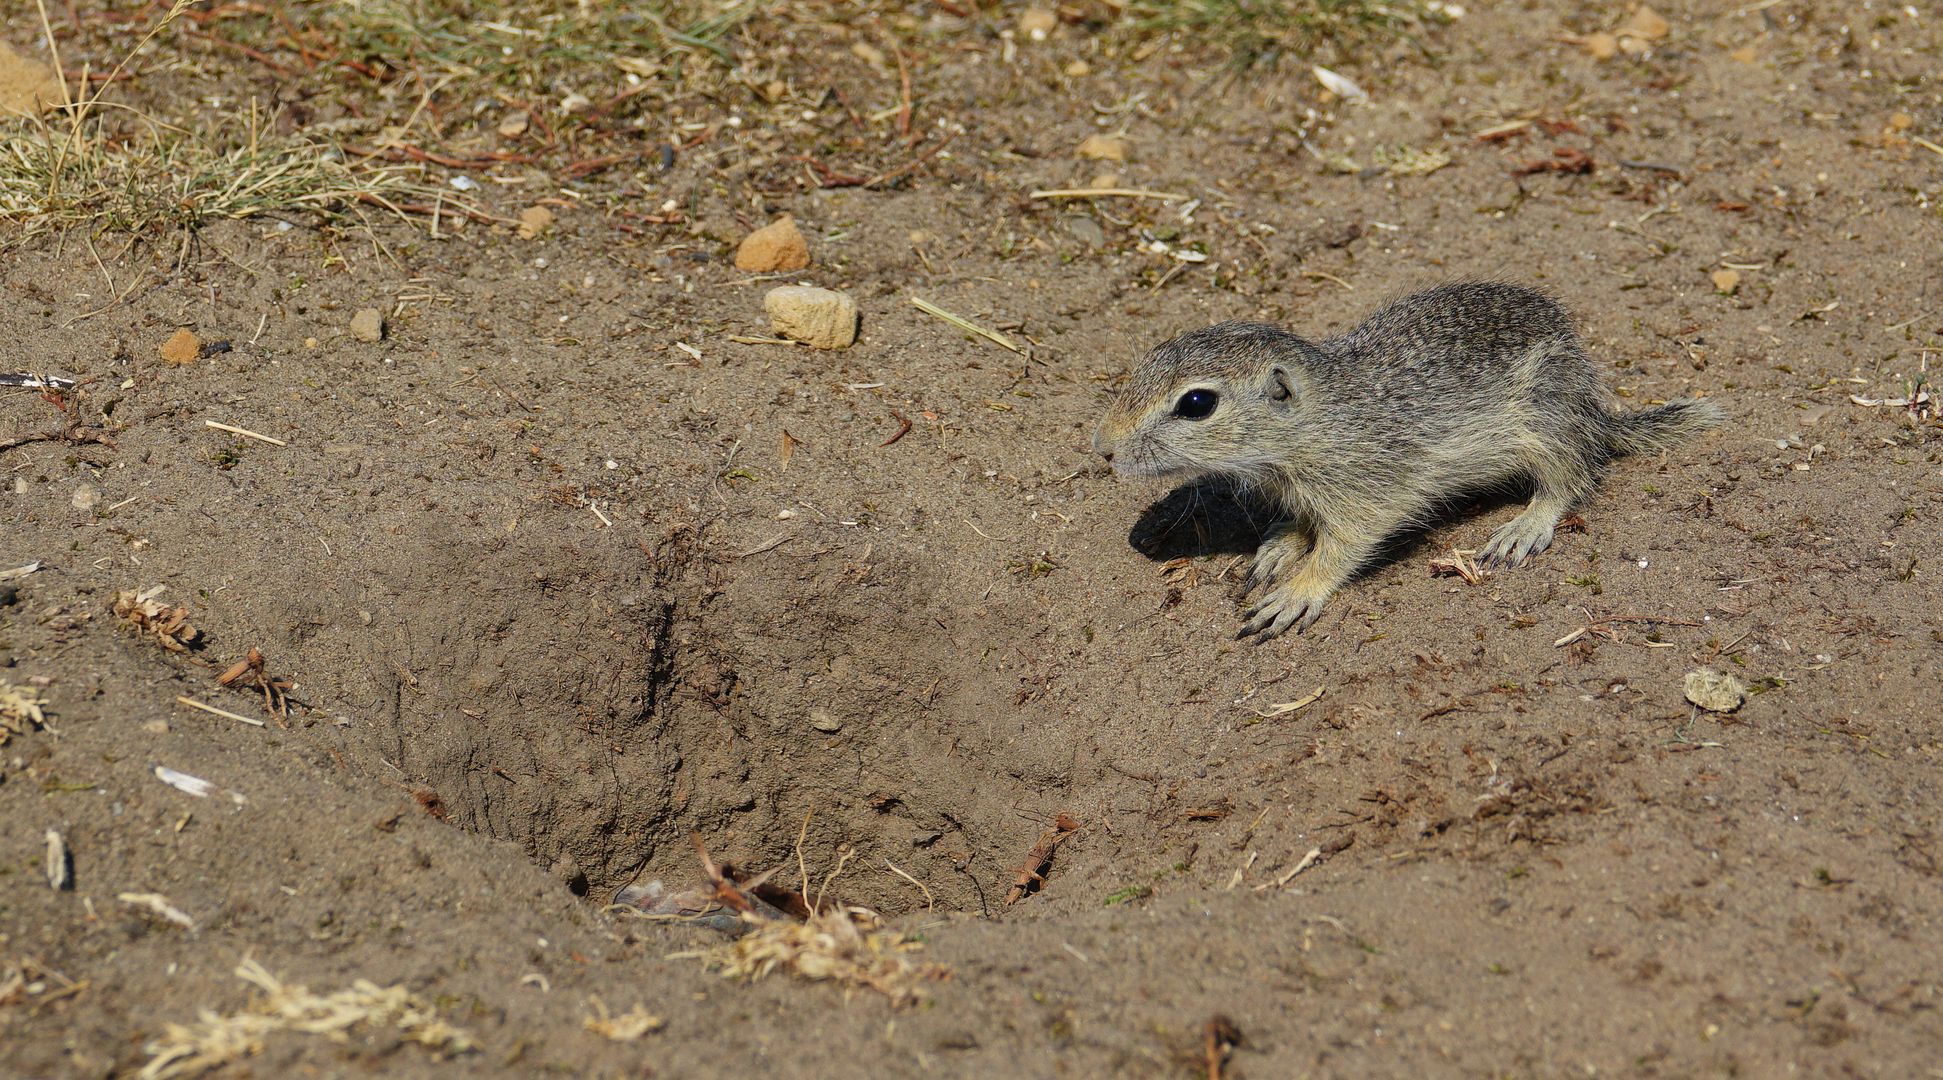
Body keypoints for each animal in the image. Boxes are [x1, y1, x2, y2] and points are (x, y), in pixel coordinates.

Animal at [1103, 285, 1725, 641]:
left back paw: (1524, 526)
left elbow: (1345, 545)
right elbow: (1299, 525)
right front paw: (1277, 548)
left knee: (1569, 479)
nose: (1101, 447)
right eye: (1148, 358)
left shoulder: (1368, 490)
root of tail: (1598, 409)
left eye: (1196, 403)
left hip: (1549, 420)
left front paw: (1298, 591)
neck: (1319, 419)